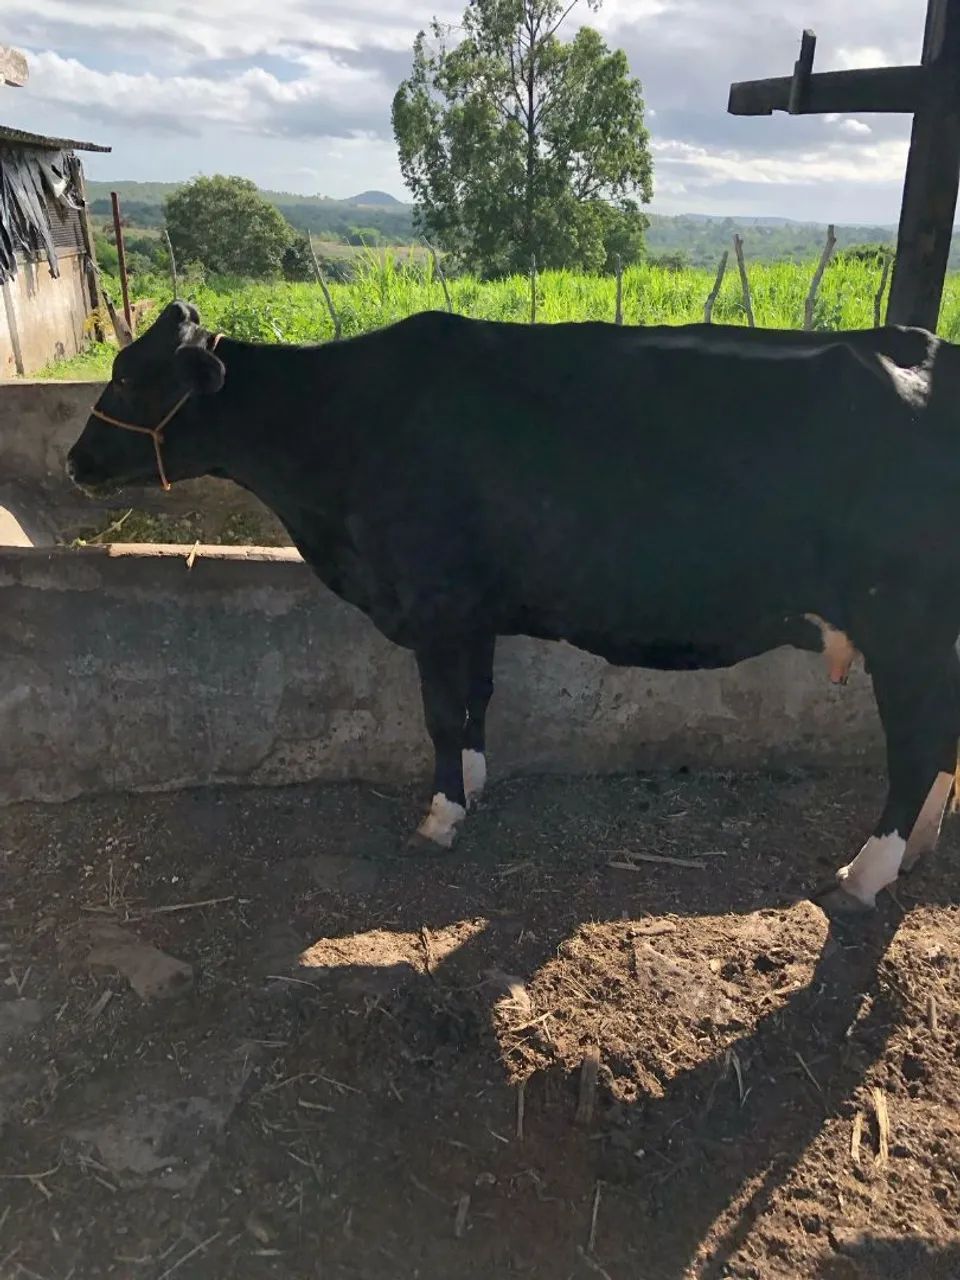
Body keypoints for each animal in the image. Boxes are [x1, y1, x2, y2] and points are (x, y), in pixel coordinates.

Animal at [65, 302, 960, 918]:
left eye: (128, 376)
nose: (74, 461)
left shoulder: (431, 602)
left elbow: (438, 712)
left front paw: (440, 814)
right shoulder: (472, 609)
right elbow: (475, 700)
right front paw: (473, 782)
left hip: (907, 628)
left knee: (918, 744)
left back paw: (866, 872)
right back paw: (918, 851)